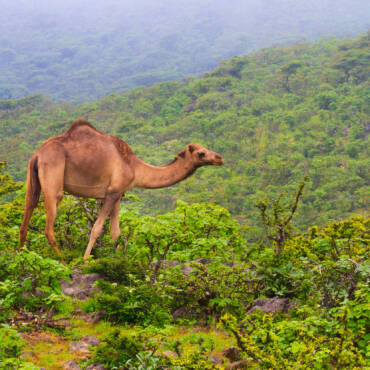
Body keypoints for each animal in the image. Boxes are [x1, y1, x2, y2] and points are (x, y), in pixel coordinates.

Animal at [19, 120, 223, 258]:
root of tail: (37, 154)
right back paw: (63, 261)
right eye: (201, 153)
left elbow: (115, 232)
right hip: (53, 175)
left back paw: (20, 257)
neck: (135, 167)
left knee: (26, 214)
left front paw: (119, 260)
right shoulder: (112, 192)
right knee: (49, 226)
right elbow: (96, 229)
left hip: (32, 177)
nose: (219, 158)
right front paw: (85, 260)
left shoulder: (119, 195)